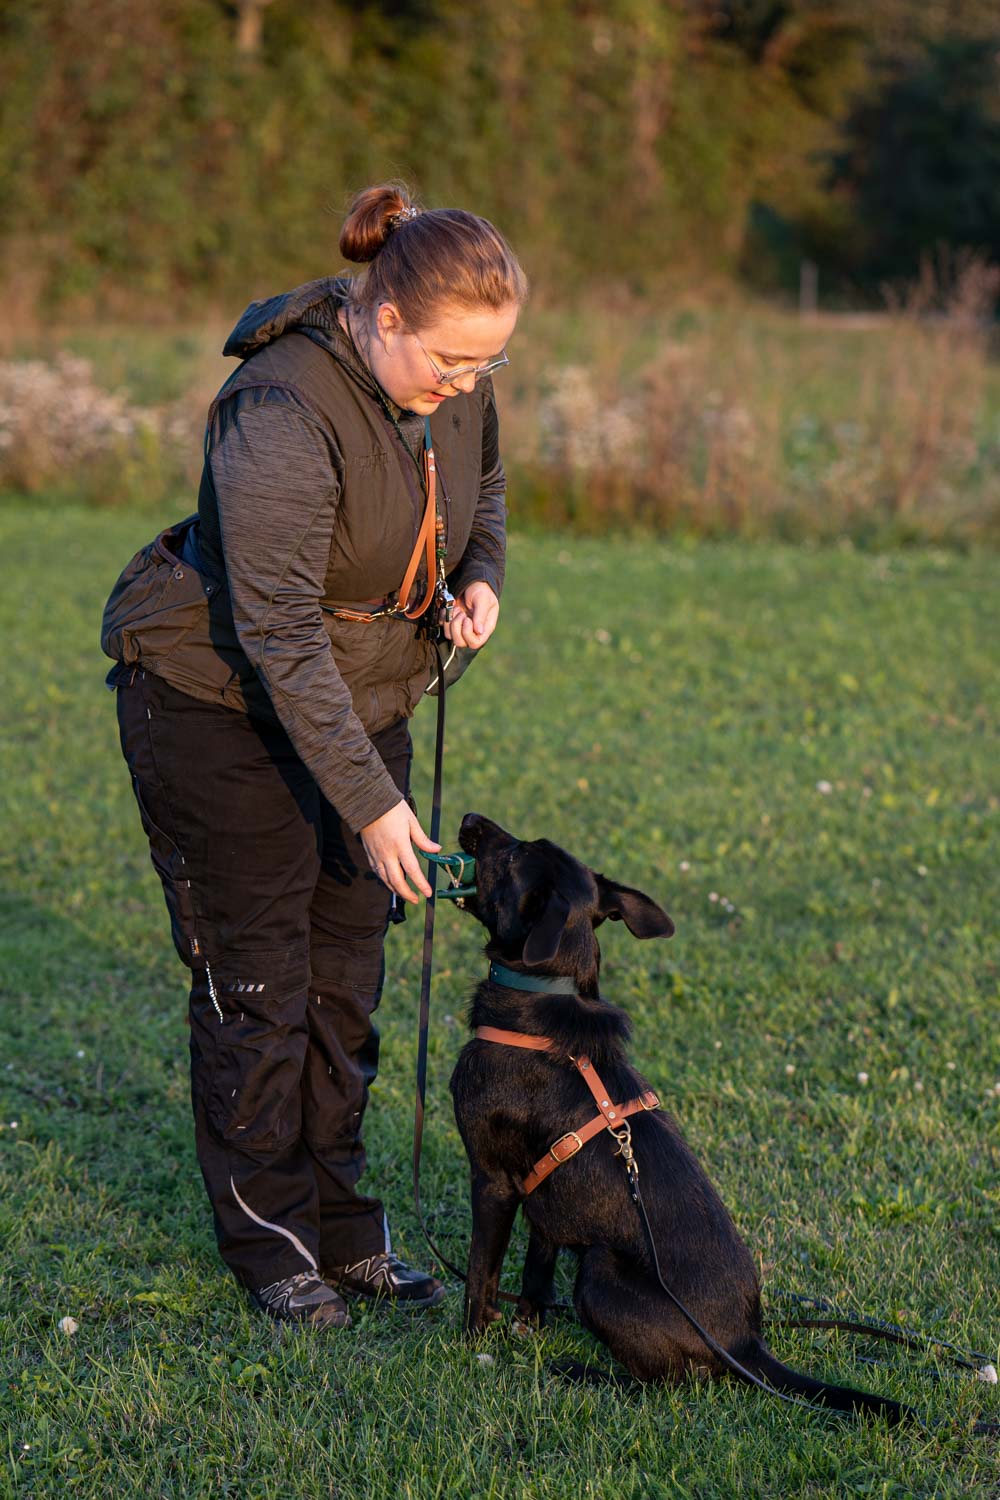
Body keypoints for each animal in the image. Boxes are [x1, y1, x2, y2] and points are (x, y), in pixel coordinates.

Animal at [449, 816, 911, 1422]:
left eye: (512, 855)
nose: (470, 820)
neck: (542, 991)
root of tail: (744, 1343)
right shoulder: (544, 1204)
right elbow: (535, 1274)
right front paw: (528, 1329)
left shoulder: (494, 1182)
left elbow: (481, 1273)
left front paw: (472, 1342)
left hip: (599, 1271)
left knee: (670, 1384)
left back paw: (587, 1373)